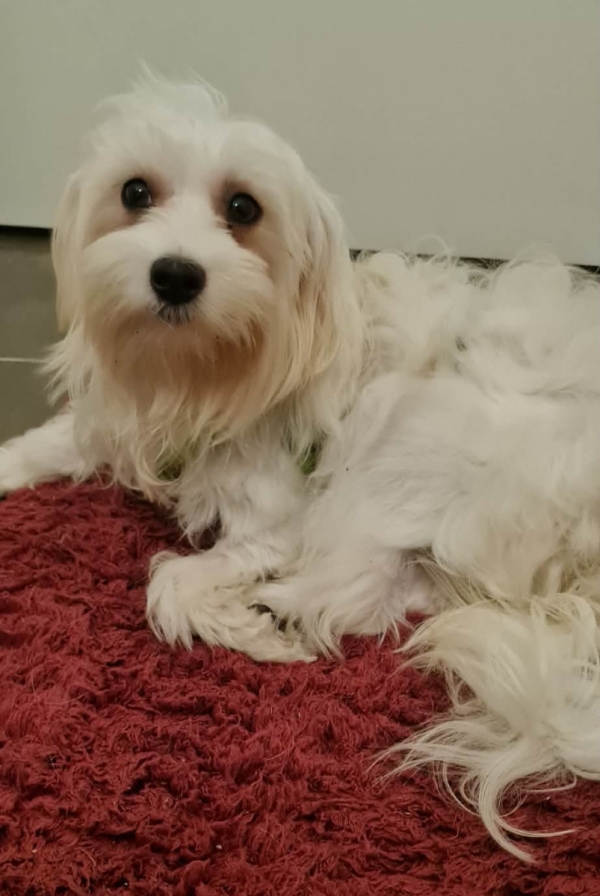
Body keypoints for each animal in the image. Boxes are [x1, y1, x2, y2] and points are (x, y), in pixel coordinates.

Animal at [1, 73, 599, 859]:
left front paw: (238, 621)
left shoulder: (280, 517)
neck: (203, 373)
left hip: (416, 448)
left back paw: (276, 609)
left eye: (243, 208)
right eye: (134, 192)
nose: (175, 274)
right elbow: (51, 442)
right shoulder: (129, 425)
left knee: (358, 591)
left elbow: (174, 581)